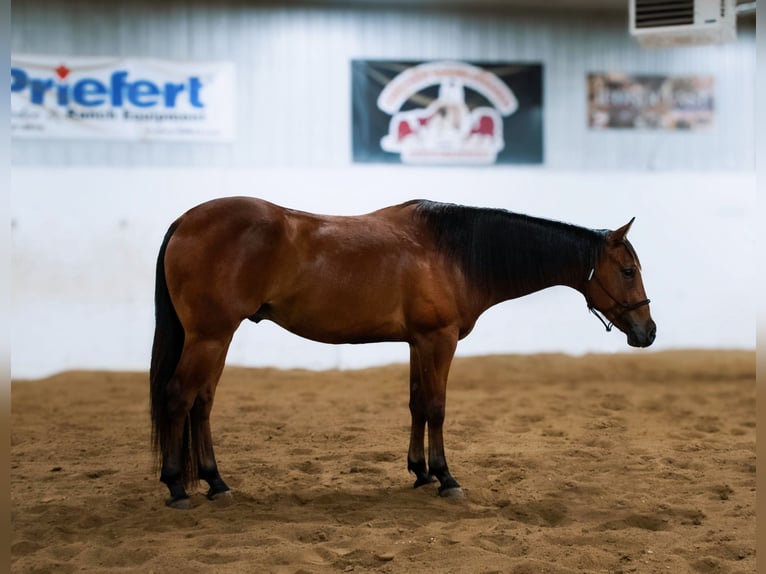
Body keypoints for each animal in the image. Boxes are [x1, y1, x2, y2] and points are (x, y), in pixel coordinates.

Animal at [152, 197, 660, 508]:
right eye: (628, 271)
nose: (648, 332)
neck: (454, 253)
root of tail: (185, 221)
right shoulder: (439, 339)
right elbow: (436, 407)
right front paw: (446, 478)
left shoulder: (419, 342)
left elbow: (417, 403)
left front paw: (420, 472)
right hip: (210, 336)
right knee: (179, 398)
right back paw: (177, 485)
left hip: (214, 339)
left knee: (201, 403)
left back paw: (215, 483)